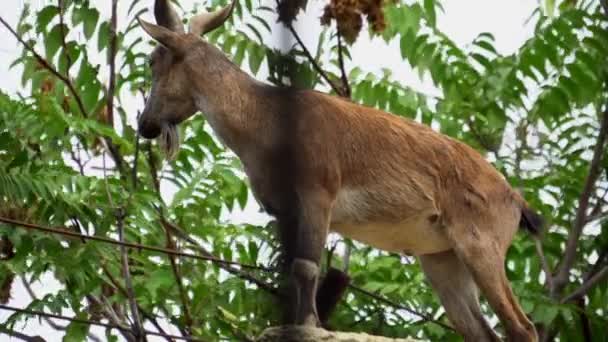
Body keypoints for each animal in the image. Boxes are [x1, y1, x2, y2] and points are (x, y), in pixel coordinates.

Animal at [140, 1, 544, 340]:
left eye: (152, 60)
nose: (145, 125)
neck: (263, 122)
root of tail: (516, 201)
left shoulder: (318, 192)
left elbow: (306, 266)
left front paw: (309, 324)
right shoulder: (284, 210)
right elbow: (293, 268)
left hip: (481, 242)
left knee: (522, 327)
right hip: (441, 257)